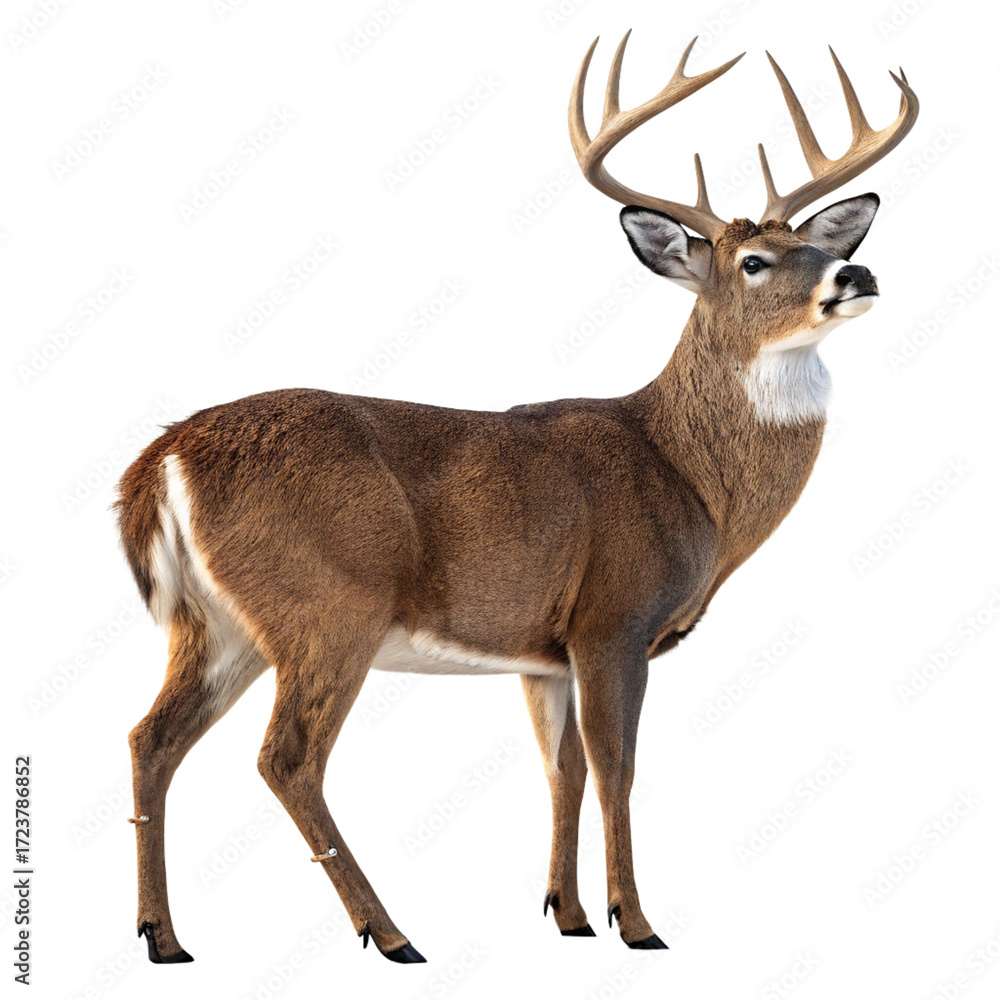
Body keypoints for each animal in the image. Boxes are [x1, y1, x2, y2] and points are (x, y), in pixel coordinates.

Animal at [117, 32, 918, 964]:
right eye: (753, 262)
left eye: (818, 246)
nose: (856, 273)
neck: (688, 478)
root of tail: (165, 454)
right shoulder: (616, 616)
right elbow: (617, 767)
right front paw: (636, 924)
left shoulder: (546, 651)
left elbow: (560, 768)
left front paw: (567, 915)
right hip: (329, 603)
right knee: (287, 758)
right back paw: (391, 933)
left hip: (218, 622)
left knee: (152, 738)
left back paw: (165, 937)